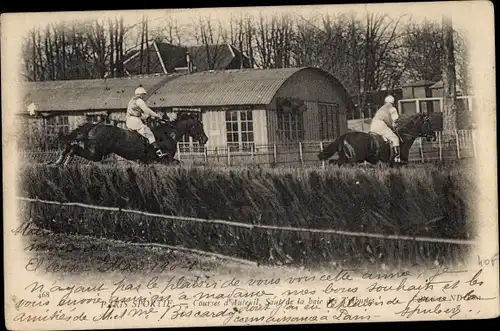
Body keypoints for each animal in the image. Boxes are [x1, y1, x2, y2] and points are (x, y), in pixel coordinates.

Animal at [50, 113, 207, 166]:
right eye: (199, 125)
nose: (205, 139)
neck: (168, 133)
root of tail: (94, 126)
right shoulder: (165, 160)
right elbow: (178, 163)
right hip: (96, 153)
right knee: (74, 148)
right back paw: (64, 162)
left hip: (94, 151)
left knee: (71, 145)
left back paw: (58, 161)